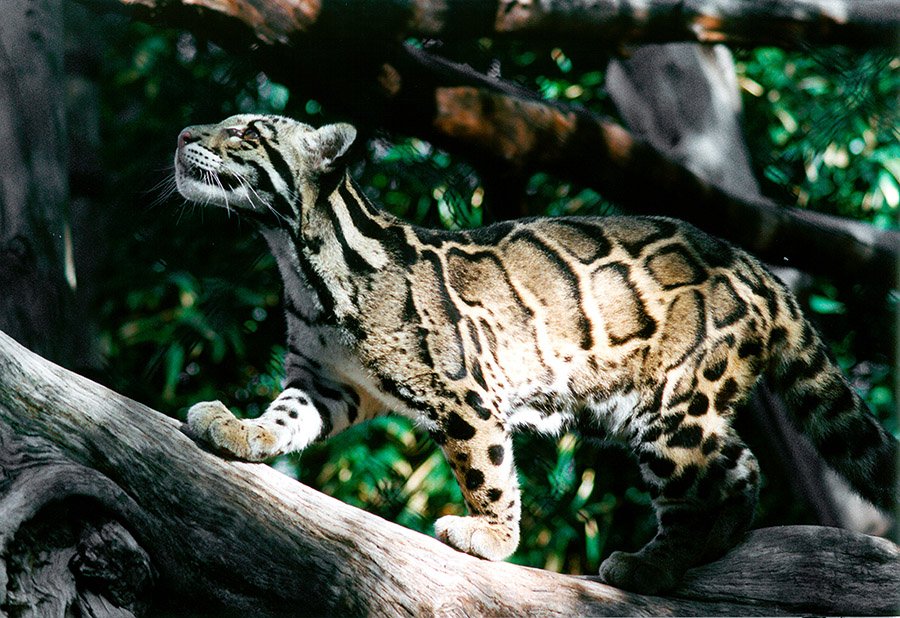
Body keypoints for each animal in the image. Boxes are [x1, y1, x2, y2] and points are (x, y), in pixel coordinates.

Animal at [173, 113, 897, 593]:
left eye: (247, 132)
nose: (182, 137)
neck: (299, 260)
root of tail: (757, 268)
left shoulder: (463, 389)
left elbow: (485, 466)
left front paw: (492, 536)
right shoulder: (323, 381)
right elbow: (285, 416)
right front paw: (241, 429)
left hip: (673, 407)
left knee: (713, 481)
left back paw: (653, 563)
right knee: (739, 466)